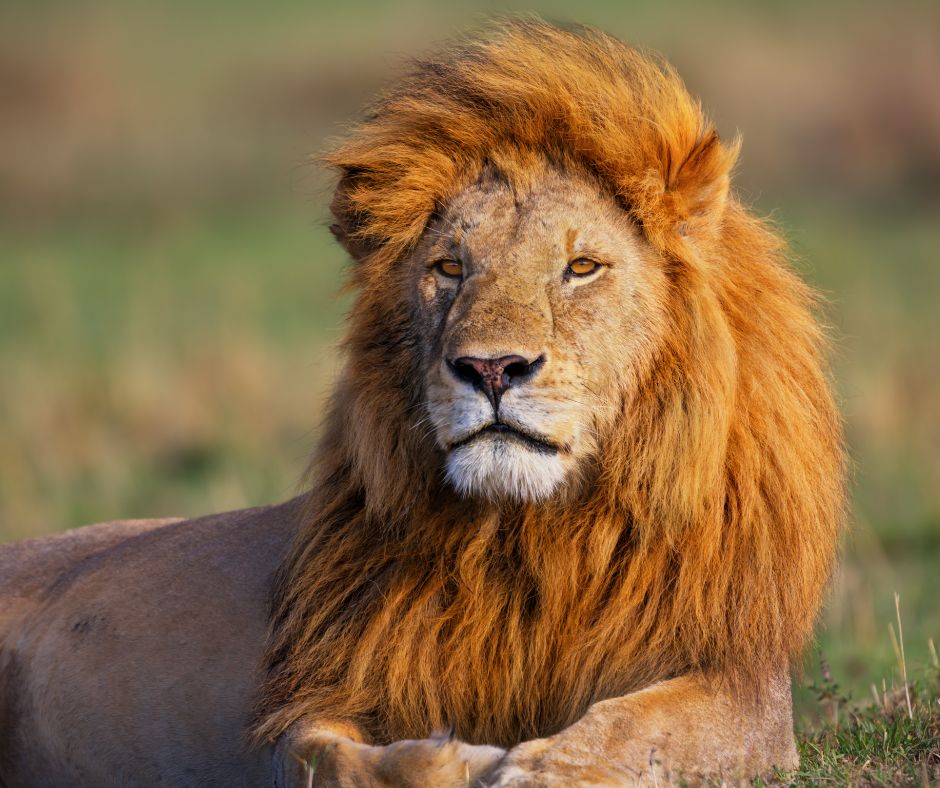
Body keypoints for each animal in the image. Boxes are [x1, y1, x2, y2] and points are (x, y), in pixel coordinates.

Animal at [0, 19, 844, 787]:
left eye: (581, 267)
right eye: (449, 267)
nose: (491, 368)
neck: (528, 539)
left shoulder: (741, 684)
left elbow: (638, 727)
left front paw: (543, 769)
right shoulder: (316, 689)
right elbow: (330, 758)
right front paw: (455, 760)